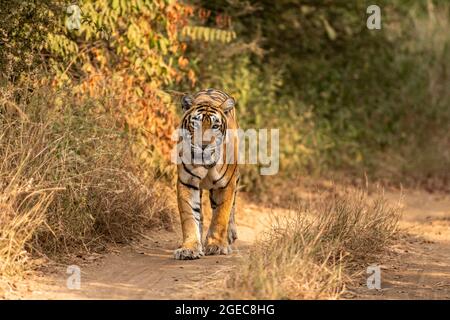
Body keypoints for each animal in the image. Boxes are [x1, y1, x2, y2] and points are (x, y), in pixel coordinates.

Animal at [174, 88, 241, 260]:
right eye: (195, 123)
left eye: (215, 126)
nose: (203, 145)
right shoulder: (187, 182)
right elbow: (189, 216)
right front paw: (189, 248)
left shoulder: (226, 185)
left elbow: (220, 216)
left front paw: (217, 246)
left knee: (231, 208)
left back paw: (230, 235)